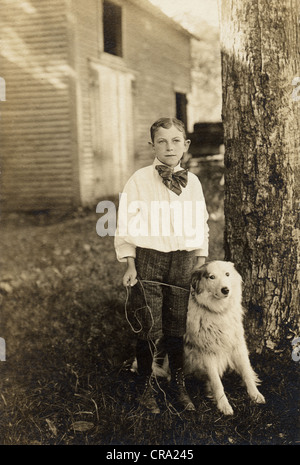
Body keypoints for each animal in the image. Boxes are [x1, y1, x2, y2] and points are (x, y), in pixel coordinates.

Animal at [185, 260, 264, 416]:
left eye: (227, 274)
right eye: (211, 277)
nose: (225, 290)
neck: (219, 311)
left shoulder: (238, 345)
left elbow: (246, 371)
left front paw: (255, 394)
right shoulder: (207, 353)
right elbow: (217, 383)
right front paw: (224, 405)